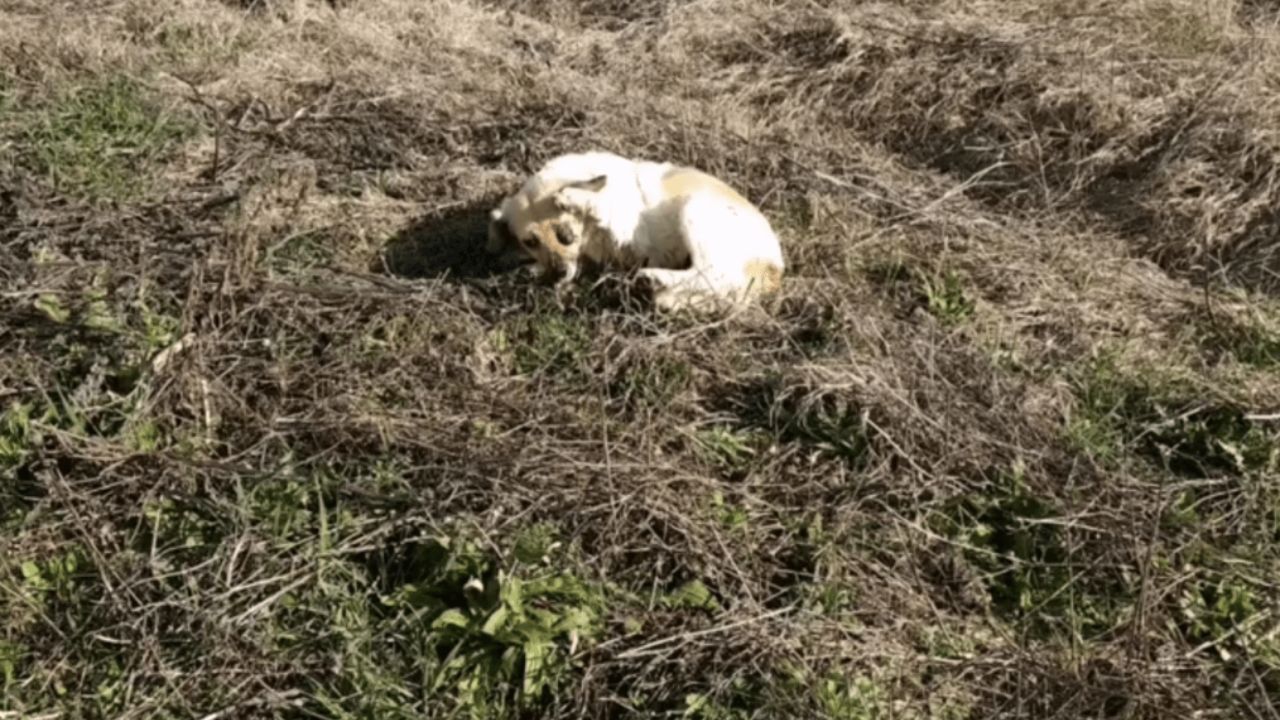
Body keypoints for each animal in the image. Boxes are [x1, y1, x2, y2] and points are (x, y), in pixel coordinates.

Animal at [488, 149, 783, 310]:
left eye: (566, 235)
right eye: (530, 242)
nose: (557, 275)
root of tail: (775, 270)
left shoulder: (627, 228)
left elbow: (594, 204)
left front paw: (571, 197)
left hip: (694, 208)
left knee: (714, 272)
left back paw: (653, 279)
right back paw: (663, 295)